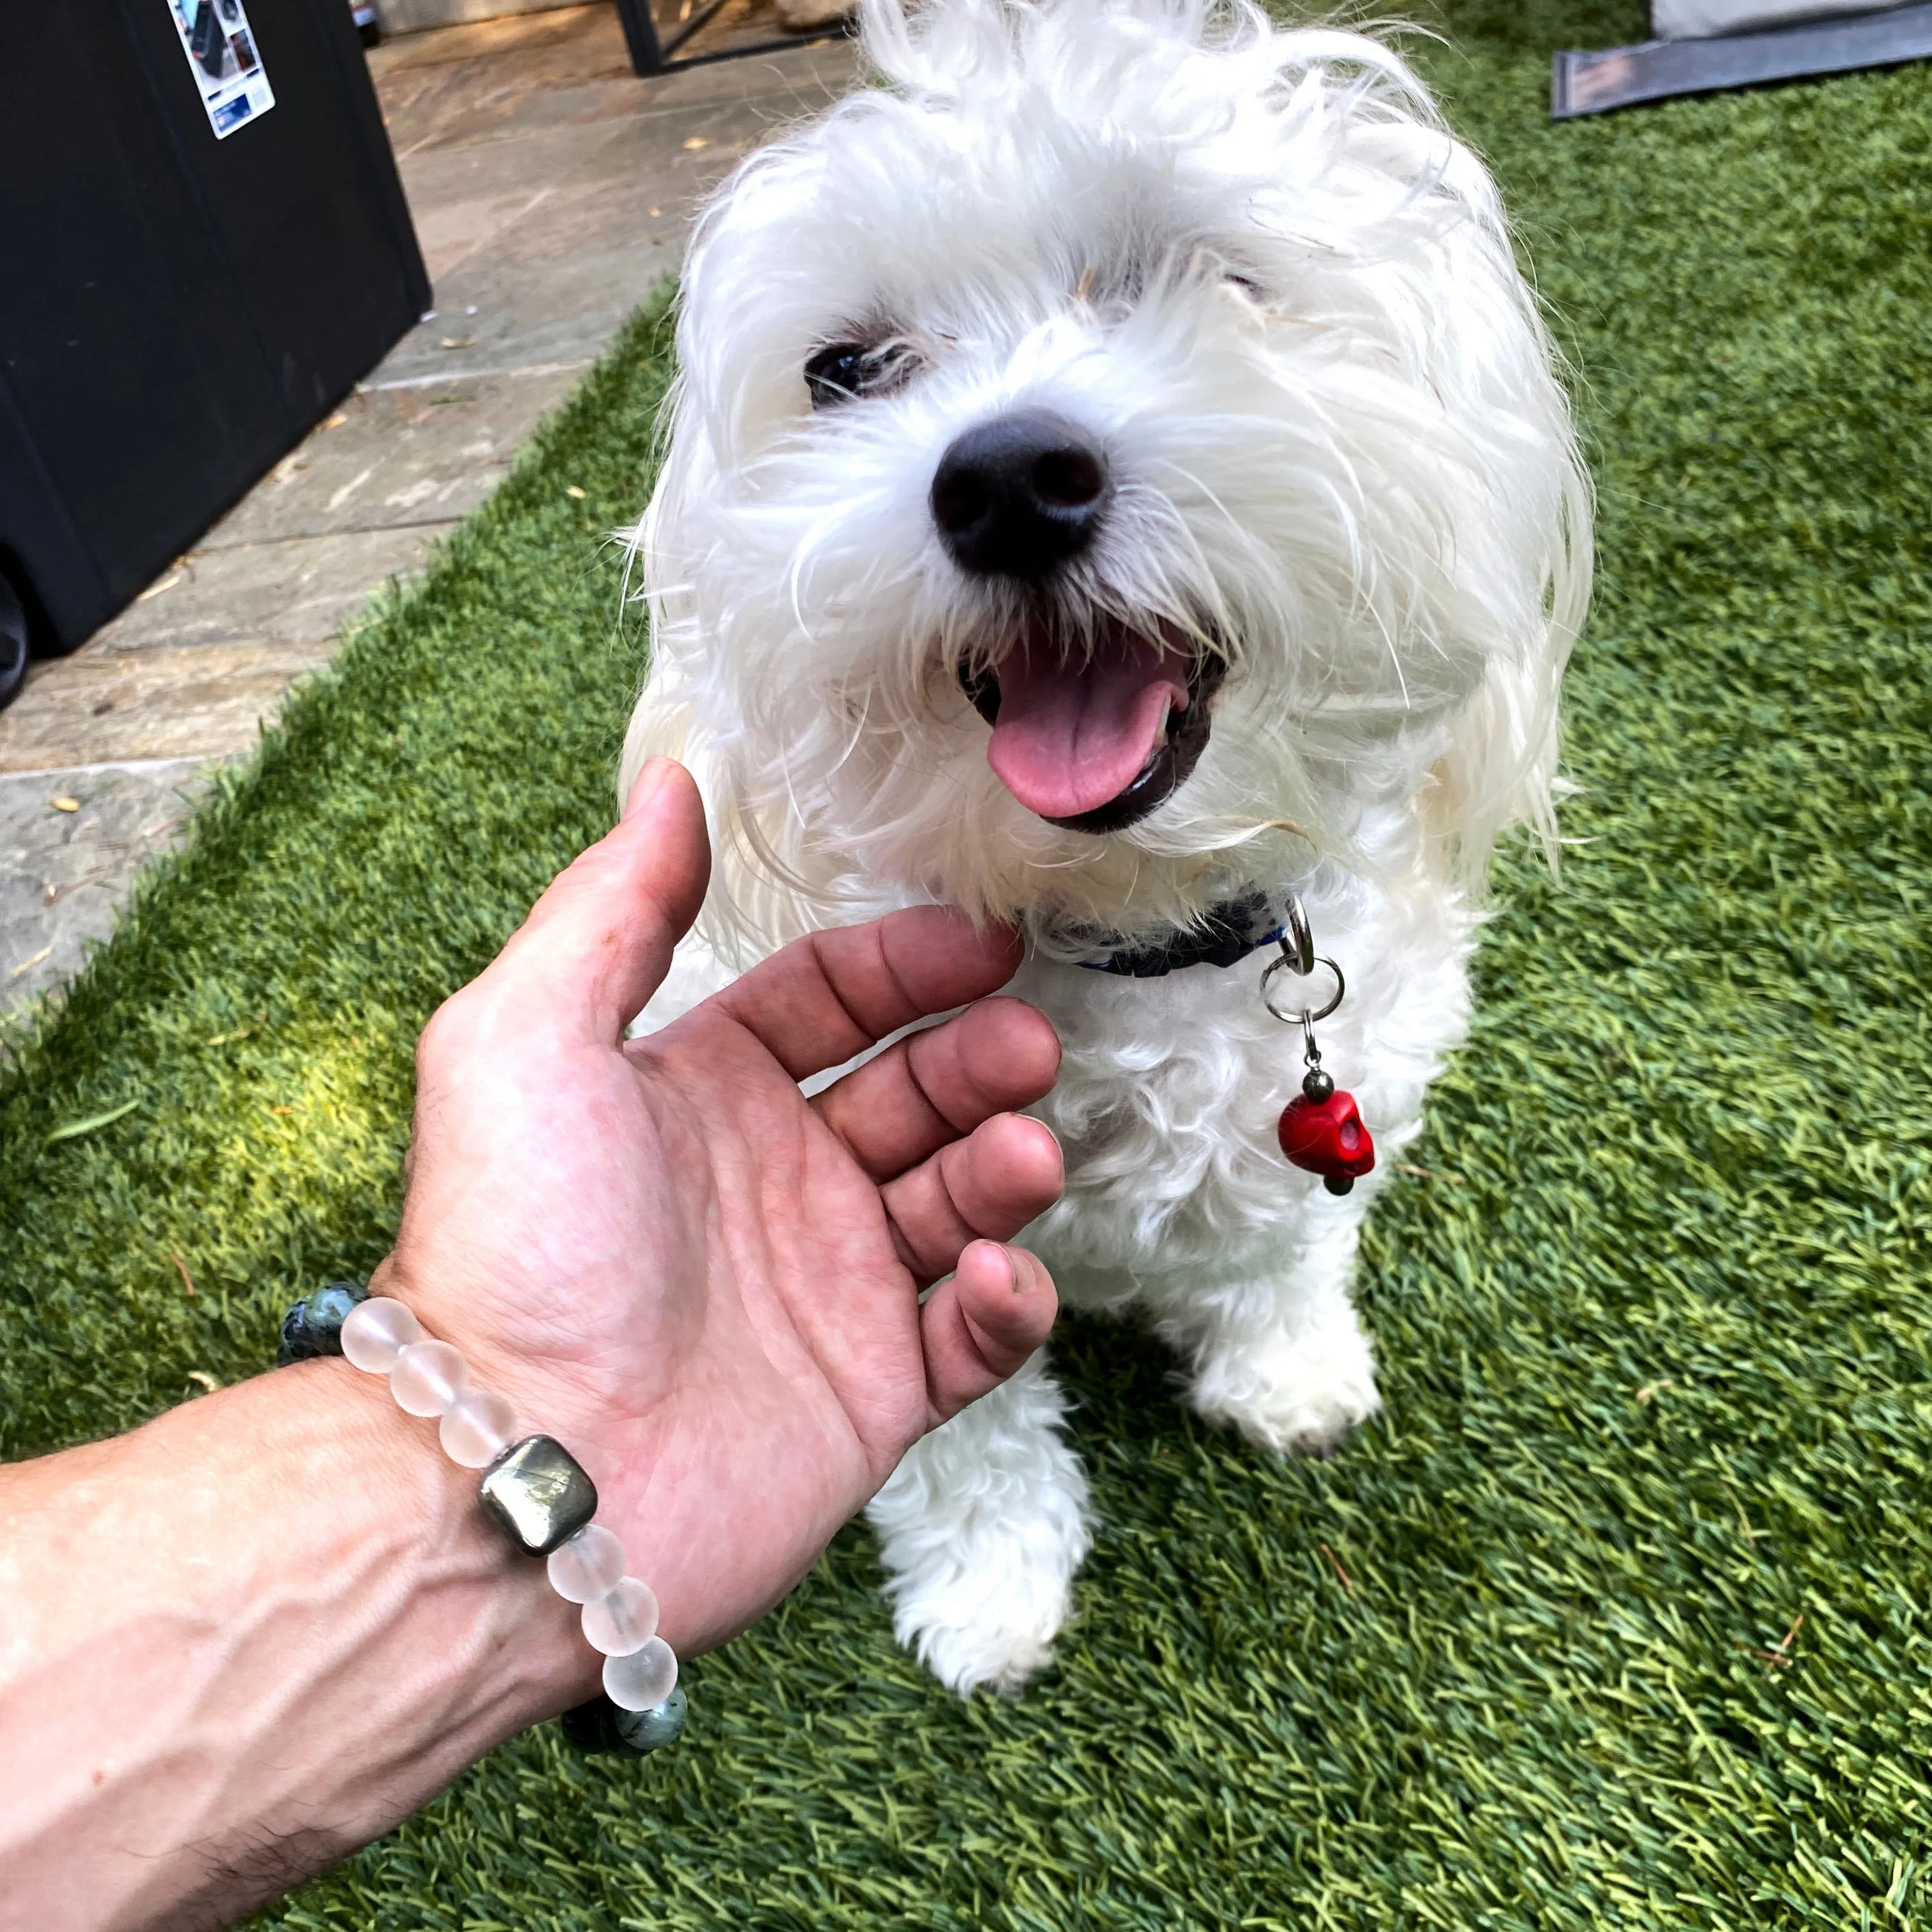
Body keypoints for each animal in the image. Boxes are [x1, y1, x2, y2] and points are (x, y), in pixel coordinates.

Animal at [618, 0, 1584, 1692]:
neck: (1137, 929)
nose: (1006, 481)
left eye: (1204, 279)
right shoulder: (911, 1220)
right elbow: (963, 1434)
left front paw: (1287, 1374)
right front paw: (990, 1591)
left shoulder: (1332, 1096)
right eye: (844, 369)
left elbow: (1286, 1243)